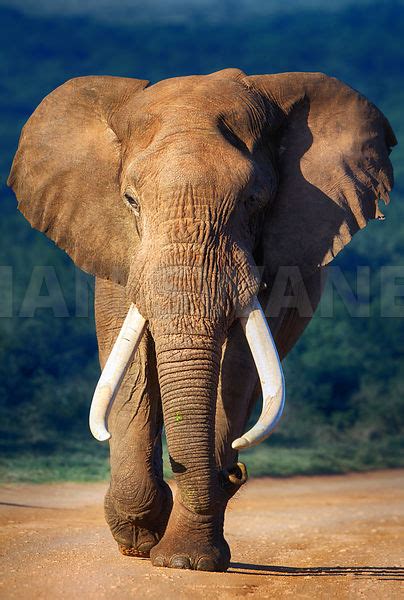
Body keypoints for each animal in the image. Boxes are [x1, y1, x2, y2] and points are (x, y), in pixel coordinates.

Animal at [7, 68, 396, 568]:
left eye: (253, 200)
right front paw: (141, 539)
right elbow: (131, 360)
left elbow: (240, 367)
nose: (236, 472)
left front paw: (185, 561)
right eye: (131, 200)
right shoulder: (115, 243)